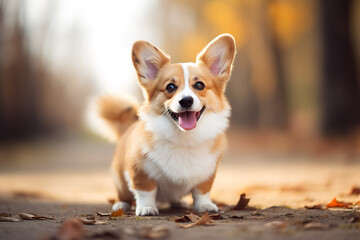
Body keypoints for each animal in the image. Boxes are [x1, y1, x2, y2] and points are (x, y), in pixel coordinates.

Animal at [95, 33, 236, 216]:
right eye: (170, 87)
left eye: (199, 85)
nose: (186, 101)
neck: (184, 138)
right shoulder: (141, 172)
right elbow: (146, 192)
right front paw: (147, 208)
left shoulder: (207, 173)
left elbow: (201, 192)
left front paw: (205, 206)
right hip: (120, 180)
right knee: (124, 195)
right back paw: (121, 205)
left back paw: (179, 203)